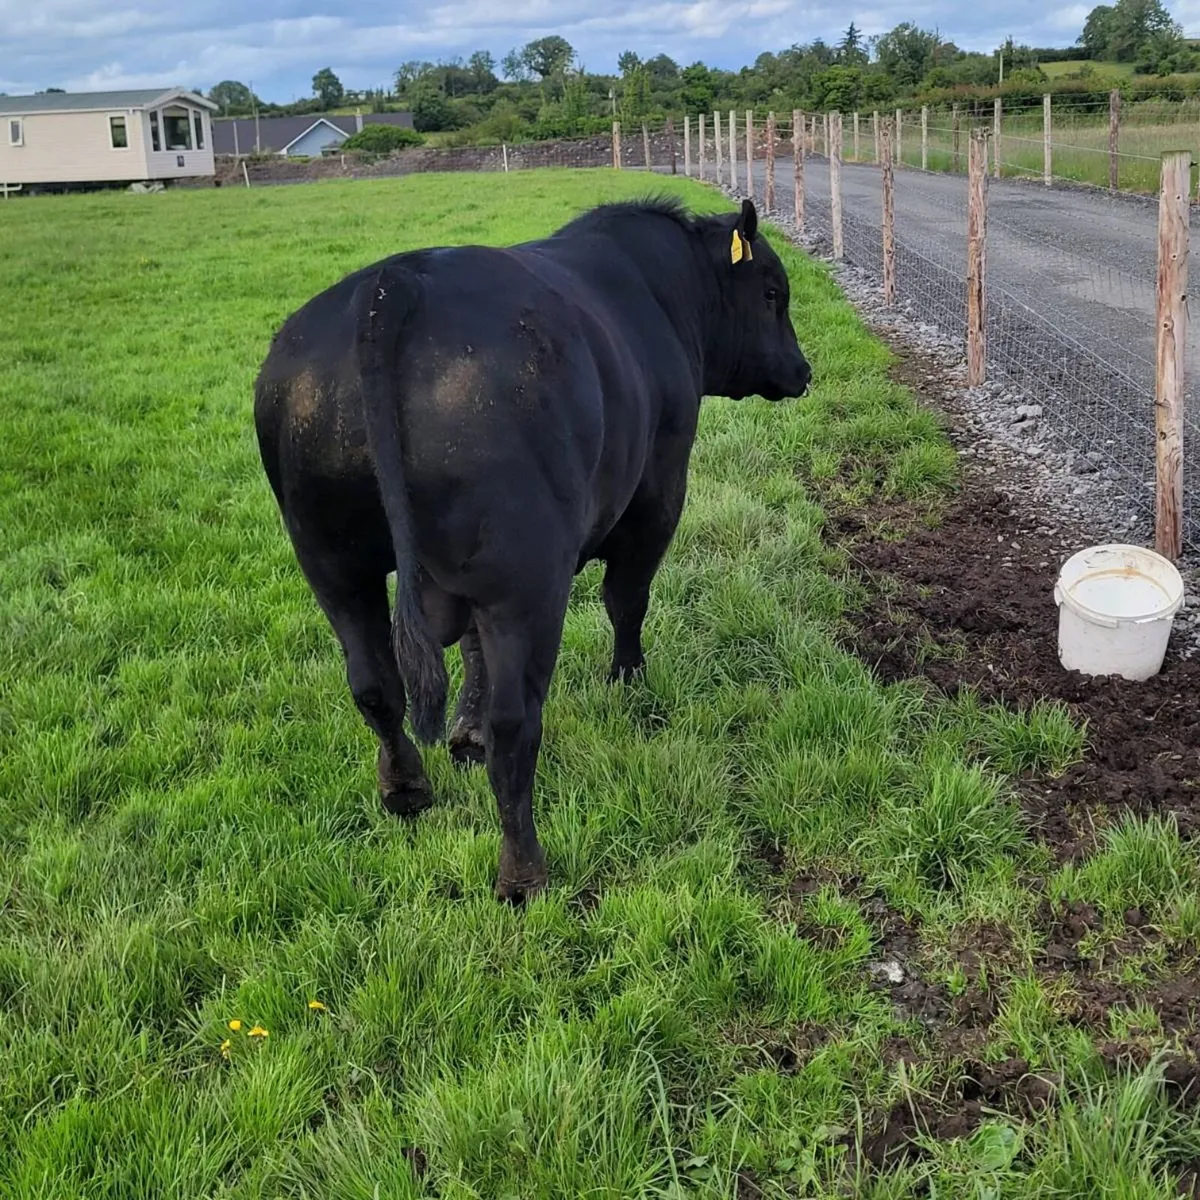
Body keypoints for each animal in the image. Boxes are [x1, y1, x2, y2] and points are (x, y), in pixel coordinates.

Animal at [254, 196, 811, 902]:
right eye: (772, 293)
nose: (803, 370)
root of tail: (392, 284)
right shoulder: (658, 493)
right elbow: (627, 598)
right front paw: (629, 683)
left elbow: (470, 653)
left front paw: (463, 733)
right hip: (527, 581)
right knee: (515, 724)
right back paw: (523, 872)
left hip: (334, 564)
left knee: (376, 688)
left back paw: (407, 790)